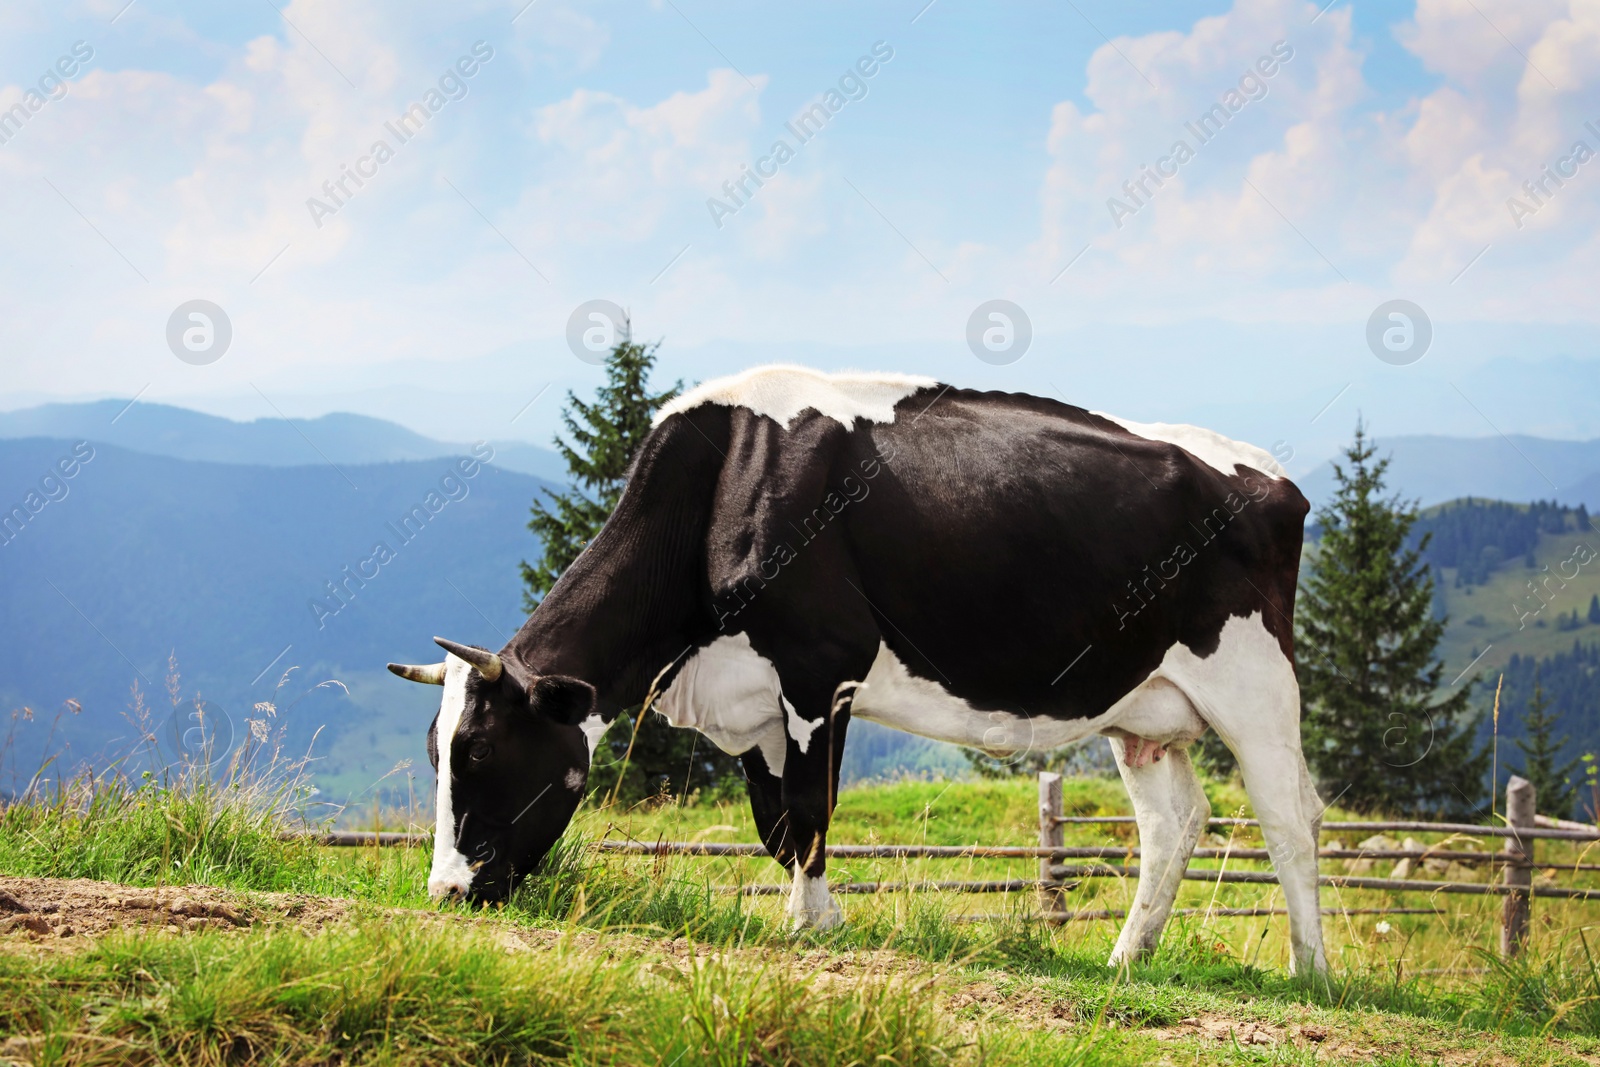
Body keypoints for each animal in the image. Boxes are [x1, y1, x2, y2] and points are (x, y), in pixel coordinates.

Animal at [393, 364, 1331, 979]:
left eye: (478, 750)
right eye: (436, 753)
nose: (447, 891)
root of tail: (1276, 479)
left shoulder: (820, 669)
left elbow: (811, 810)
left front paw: (806, 928)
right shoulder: (754, 704)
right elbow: (777, 825)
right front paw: (823, 915)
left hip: (1256, 684)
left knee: (1290, 816)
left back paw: (1309, 969)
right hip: (1143, 712)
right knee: (1175, 822)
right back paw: (1126, 958)